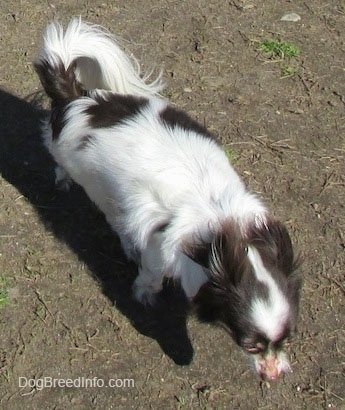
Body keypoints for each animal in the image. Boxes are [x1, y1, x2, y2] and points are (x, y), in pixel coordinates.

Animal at [33, 18, 300, 382]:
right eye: (249, 344)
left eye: (286, 340)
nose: (274, 376)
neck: (220, 234)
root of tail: (79, 102)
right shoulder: (159, 248)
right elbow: (151, 277)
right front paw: (143, 294)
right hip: (98, 187)